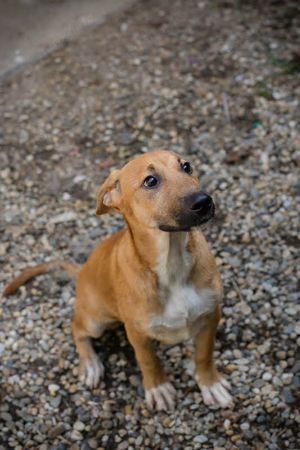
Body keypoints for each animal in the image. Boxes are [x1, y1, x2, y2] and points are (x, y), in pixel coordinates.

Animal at [2, 151, 232, 412]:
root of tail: (82, 271)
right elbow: (148, 360)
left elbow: (204, 354)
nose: (204, 201)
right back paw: (90, 364)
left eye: (186, 167)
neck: (171, 264)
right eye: (150, 181)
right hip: (96, 320)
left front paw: (210, 384)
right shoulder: (137, 332)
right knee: (76, 328)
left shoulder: (210, 316)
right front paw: (158, 388)